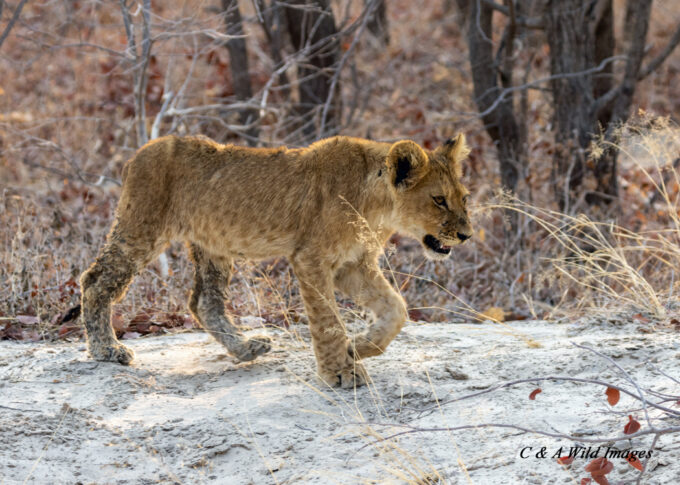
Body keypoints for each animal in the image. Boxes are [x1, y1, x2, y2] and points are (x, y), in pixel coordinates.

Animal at [80, 134, 473, 388]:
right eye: (438, 200)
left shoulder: (354, 265)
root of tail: (137, 154)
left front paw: (359, 347)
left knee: (204, 301)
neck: (379, 210)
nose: (466, 235)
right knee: (94, 280)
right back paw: (107, 350)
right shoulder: (311, 258)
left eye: (464, 198)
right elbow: (328, 321)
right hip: (142, 229)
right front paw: (340, 373)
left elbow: (396, 309)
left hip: (213, 245)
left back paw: (246, 348)